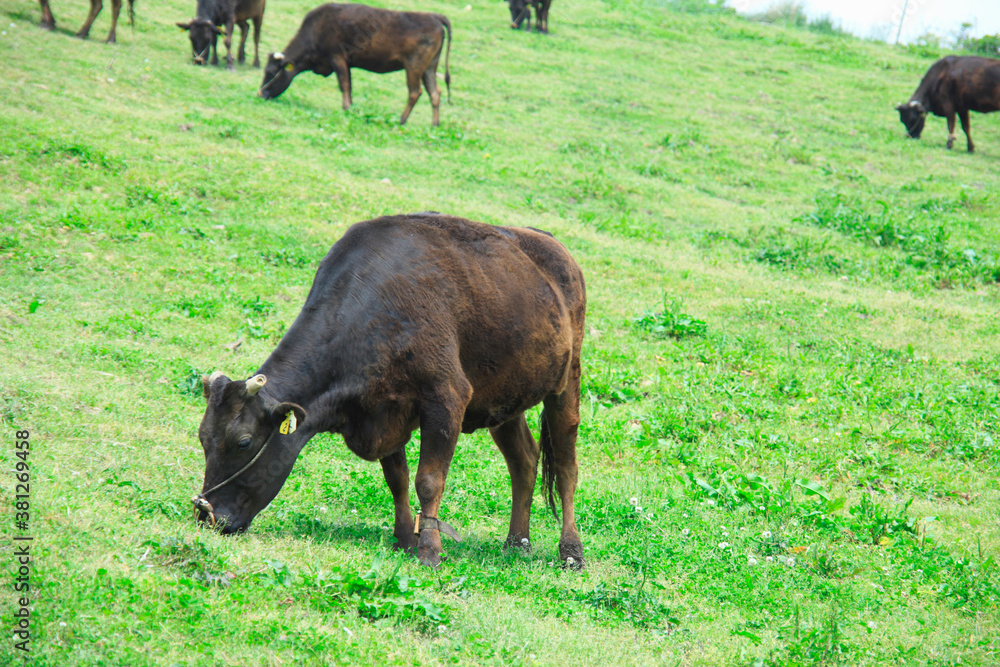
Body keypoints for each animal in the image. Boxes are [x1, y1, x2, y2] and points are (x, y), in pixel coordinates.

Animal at [189, 214, 584, 568]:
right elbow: (398, 479)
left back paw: (570, 551)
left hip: (568, 381)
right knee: (524, 460)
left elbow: (429, 480)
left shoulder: (446, 397)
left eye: (244, 442)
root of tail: (549, 242)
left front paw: (429, 550)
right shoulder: (383, 409)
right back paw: (517, 543)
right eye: (203, 439)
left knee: (566, 466)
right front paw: (405, 539)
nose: (207, 514)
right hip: (504, 399)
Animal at [258, 2, 454, 126]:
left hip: (414, 66)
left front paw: (346, 108)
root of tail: (433, 16)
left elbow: (344, 84)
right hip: (429, 67)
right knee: (435, 92)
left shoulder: (337, 57)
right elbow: (350, 85)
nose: (260, 94)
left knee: (415, 92)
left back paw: (401, 121)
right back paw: (434, 124)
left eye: (270, 72)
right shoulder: (346, 63)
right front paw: (351, 107)